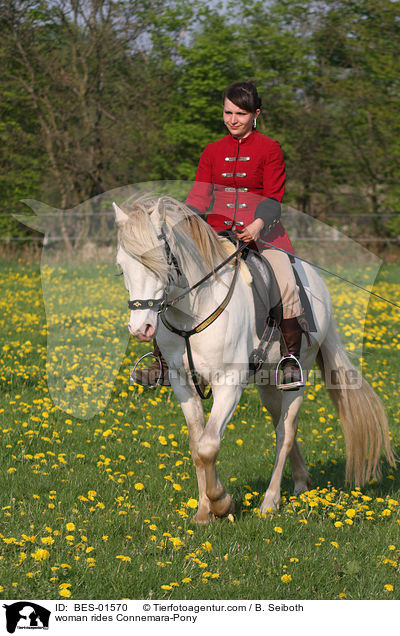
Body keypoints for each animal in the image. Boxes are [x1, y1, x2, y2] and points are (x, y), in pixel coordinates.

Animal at [114, 194, 396, 520]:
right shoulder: (181, 382)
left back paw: (270, 502)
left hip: (298, 373)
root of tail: (316, 281)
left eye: (159, 260)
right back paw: (302, 482)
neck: (195, 308)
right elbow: (197, 445)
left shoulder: (229, 384)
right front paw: (203, 512)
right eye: (121, 267)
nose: (140, 329)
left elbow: (209, 445)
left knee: (285, 432)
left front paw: (221, 503)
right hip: (266, 382)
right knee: (280, 425)